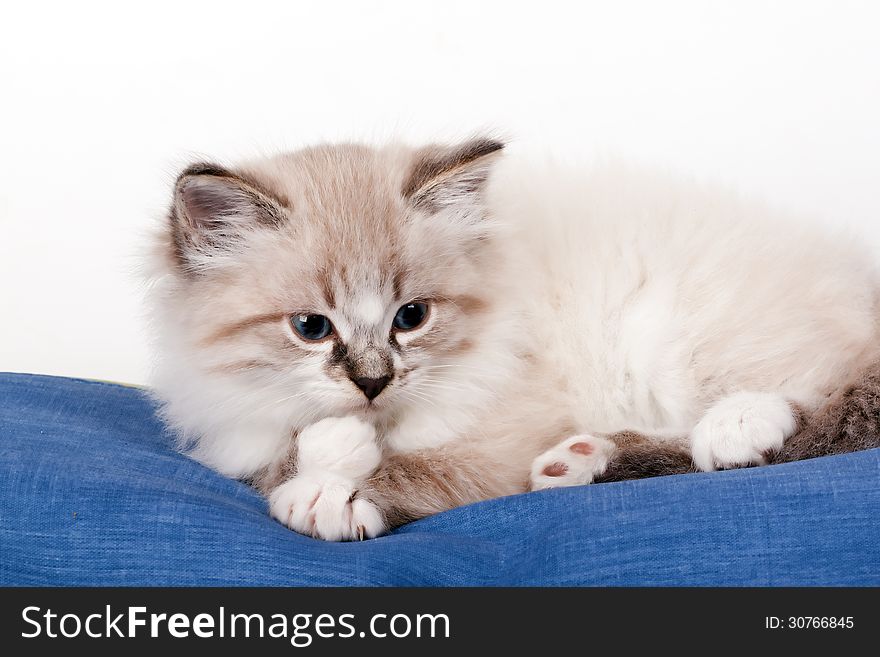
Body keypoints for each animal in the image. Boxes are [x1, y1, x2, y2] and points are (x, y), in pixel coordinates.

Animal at [146, 137, 880, 540]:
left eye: (411, 316)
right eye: (310, 327)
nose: (373, 381)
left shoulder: (501, 430)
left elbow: (420, 466)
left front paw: (333, 487)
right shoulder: (237, 431)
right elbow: (280, 451)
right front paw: (329, 449)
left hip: (680, 337)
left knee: (821, 403)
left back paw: (735, 427)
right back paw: (577, 461)